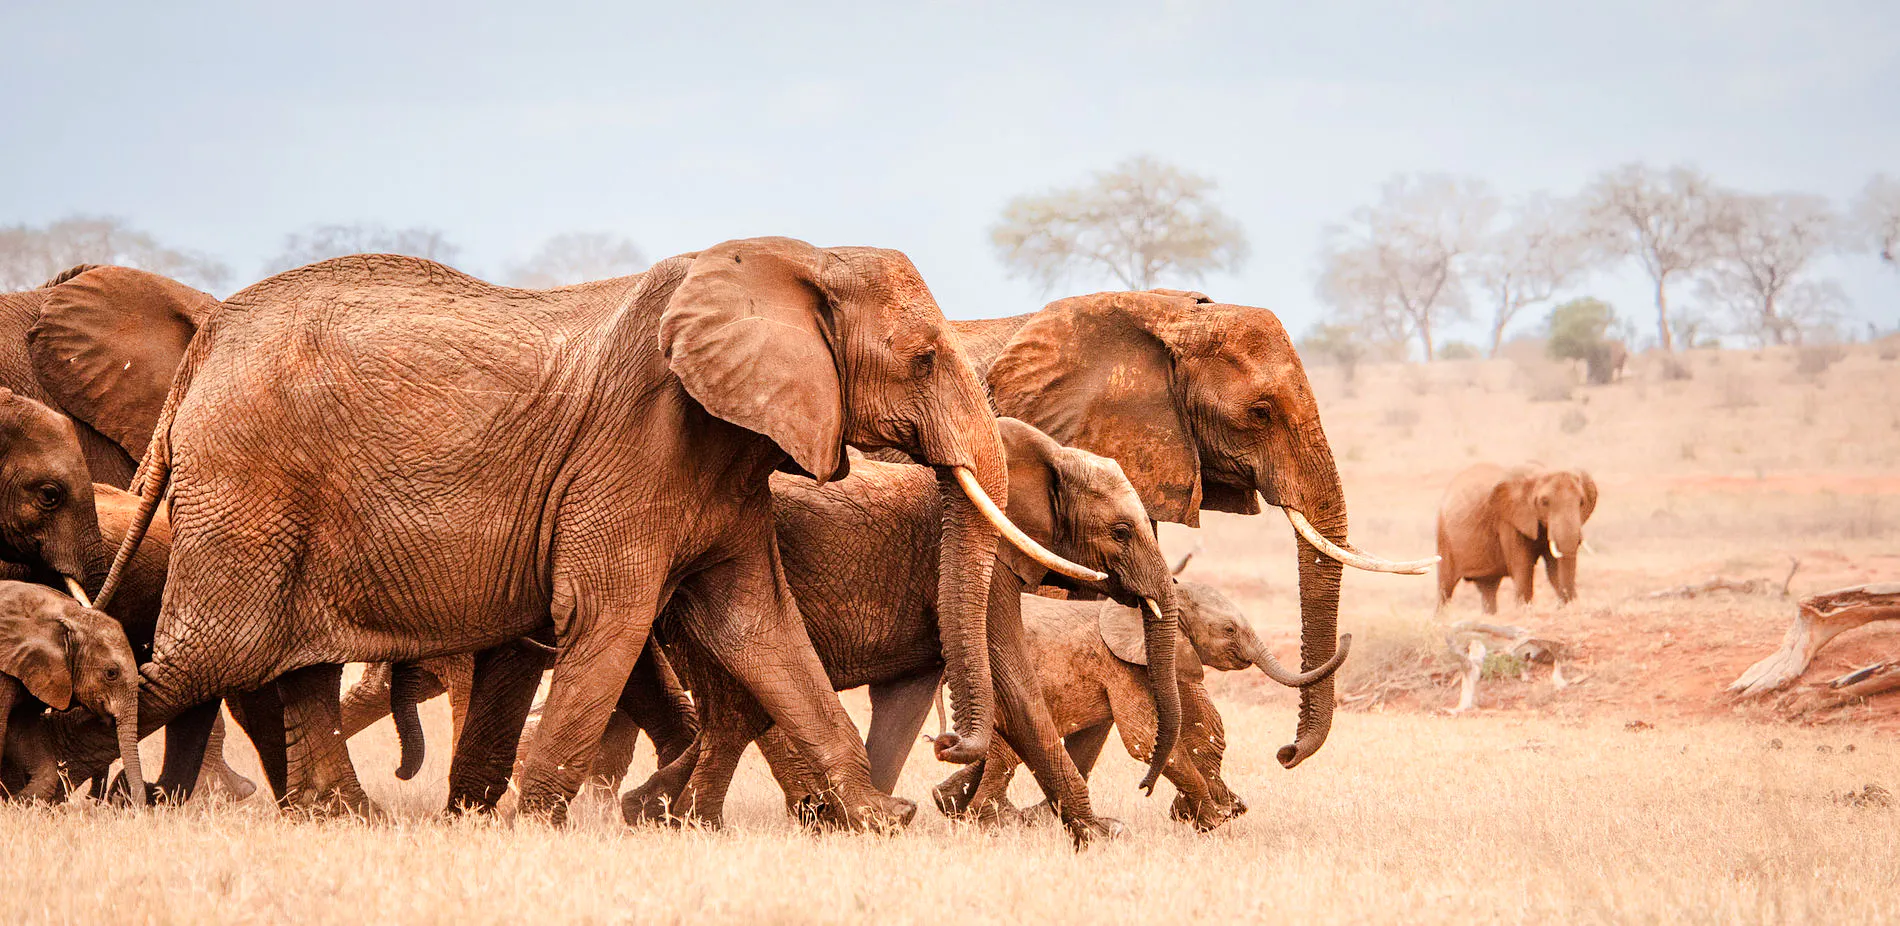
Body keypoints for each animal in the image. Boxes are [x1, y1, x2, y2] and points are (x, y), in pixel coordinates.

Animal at [77, 237, 1096, 825]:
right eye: (922, 359)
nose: (951, 753)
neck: (793, 259)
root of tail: (204, 350)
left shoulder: (721, 460)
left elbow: (758, 625)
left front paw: (882, 823)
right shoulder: (638, 447)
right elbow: (607, 617)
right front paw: (530, 826)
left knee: (289, 664)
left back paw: (338, 819)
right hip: (247, 484)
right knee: (211, 653)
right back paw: (69, 785)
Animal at [619, 418, 1184, 843]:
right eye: (1120, 532)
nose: (1144, 786)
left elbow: (904, 700)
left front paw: (855, 823)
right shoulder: (989, 569)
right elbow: (1014, 688)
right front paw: (1104, 833)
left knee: (733, 711)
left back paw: (648, 811)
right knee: (739, 707)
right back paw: (692, 820)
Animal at [934, 578, 1345, 832]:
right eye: (1229, 630)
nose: (1284, 753)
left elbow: (1199, 728)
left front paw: (1224, 811)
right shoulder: (1120, 664)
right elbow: (1145, 739)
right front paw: (1213, 819)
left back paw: (962, 806)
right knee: (1007, 750)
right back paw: (995, 821)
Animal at [1436, 463, 1598, 613]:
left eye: (1581, 502)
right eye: (1544, 502)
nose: (1562, 605)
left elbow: (1554, 566)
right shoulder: (1509, 519)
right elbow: (1522, 564)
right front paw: (1524, 611)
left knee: (1488, 586)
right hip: (1443, 535)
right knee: (1445, 587)